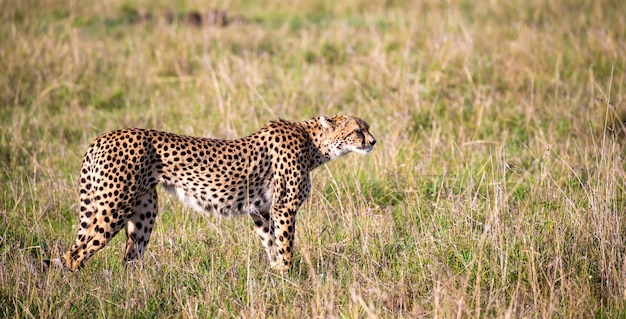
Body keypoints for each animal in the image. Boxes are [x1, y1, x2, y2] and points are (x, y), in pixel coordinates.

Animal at [56, 114, 372, 272]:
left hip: (144, 210)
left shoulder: (261, 209)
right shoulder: (284, 207)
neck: (313, 144)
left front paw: (276, 276)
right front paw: (289, 278)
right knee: (74, 254)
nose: (373, 141)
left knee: (130, 257)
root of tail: (101, 137)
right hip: (114, 207)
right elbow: (285, 244)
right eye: (358, 130)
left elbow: (271, 243)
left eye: (366, 128)